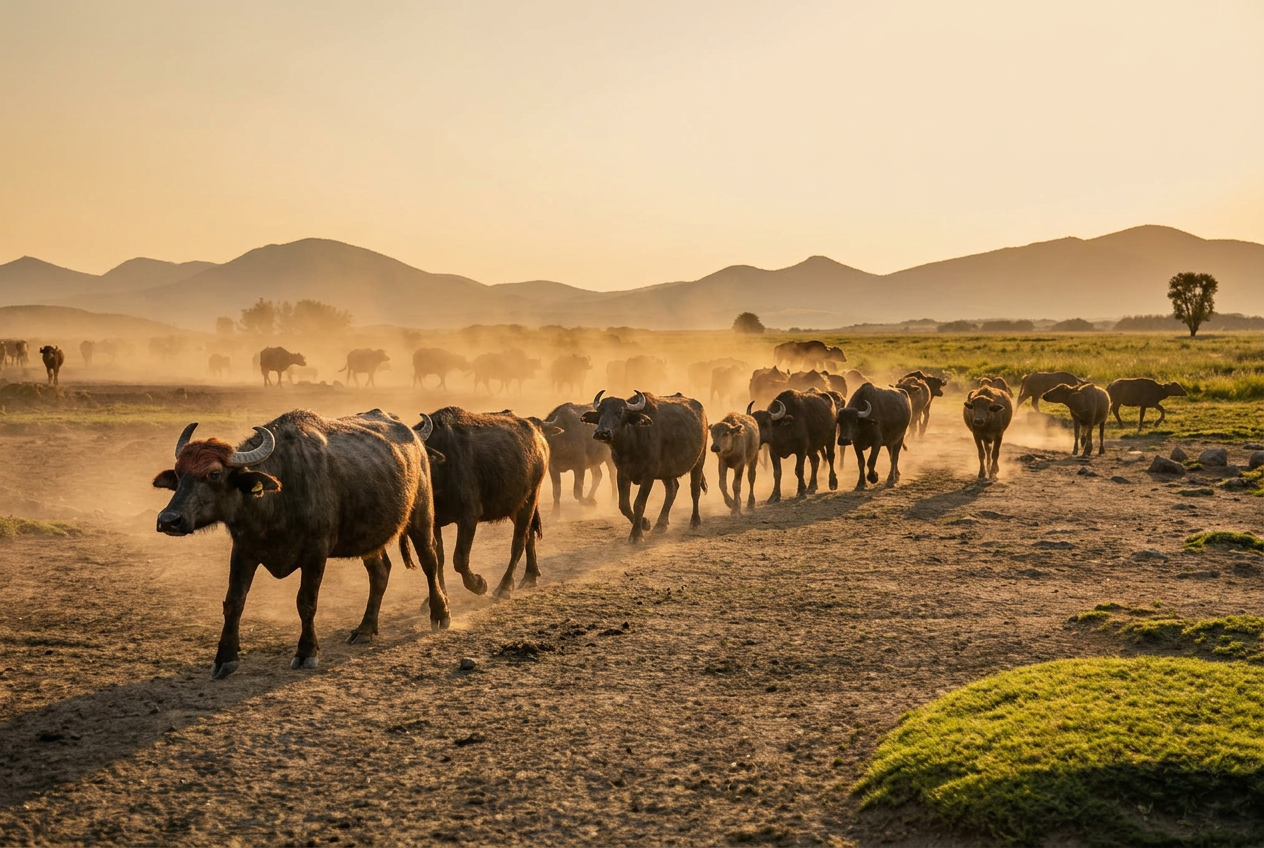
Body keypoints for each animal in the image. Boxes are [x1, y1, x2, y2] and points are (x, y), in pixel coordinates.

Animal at [151, 409, 447, 679]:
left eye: (214, 474)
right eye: (179, 473)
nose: (169, 520)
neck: (277, 498)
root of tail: (414, 438)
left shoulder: (316, 552)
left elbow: (306, 602)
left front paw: (306, 652)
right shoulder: (244, 550)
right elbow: (234, 602)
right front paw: (225, 658)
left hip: (421, 515)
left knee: (430, 561)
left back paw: (440, 613)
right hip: (369, 536)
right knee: (380, 572)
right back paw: (364, 629)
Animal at [416, 407, 549, 599]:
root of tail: (539, 437)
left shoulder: (469, 517)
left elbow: (460, 558)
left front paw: (479, 584)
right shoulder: (434, 523)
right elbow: (438, 558)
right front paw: (438, 597)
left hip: (530, 498)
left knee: (519, 540)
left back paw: (504, 586)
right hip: (514, 505)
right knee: (529, 534)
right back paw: (530, 576)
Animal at [582, 390, 708, 543]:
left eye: (619, 412)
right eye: (600, 412)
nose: (601, 433)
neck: (631, 445)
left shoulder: (649, 475)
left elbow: (639, 503)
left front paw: (636, 535)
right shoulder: (622, 473)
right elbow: (623, 505)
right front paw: (645, 524)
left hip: (699, 460)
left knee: (694, 490)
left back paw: (695, 521)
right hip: (667, 471)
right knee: (672, 489)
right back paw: (661, 524)